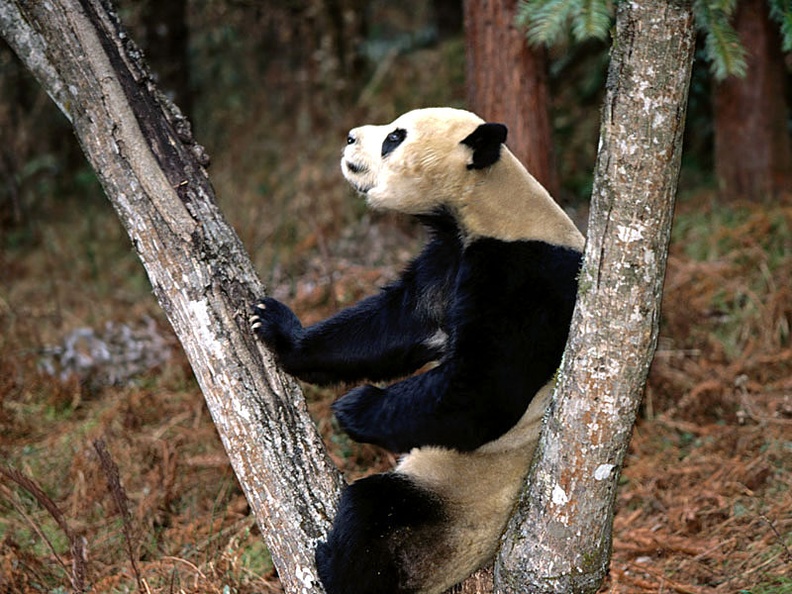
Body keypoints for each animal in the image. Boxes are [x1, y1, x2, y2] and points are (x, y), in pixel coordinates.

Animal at [251, 107, 585, 594]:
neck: (489, 202)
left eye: (394, 137)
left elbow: (482, 390)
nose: (350, 138)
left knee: (372, 509)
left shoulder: (523, 274)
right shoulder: (448, 257)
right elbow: (395, 325)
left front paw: (354, 407)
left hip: (456, 499)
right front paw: (277, 328)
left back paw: (333, 566)